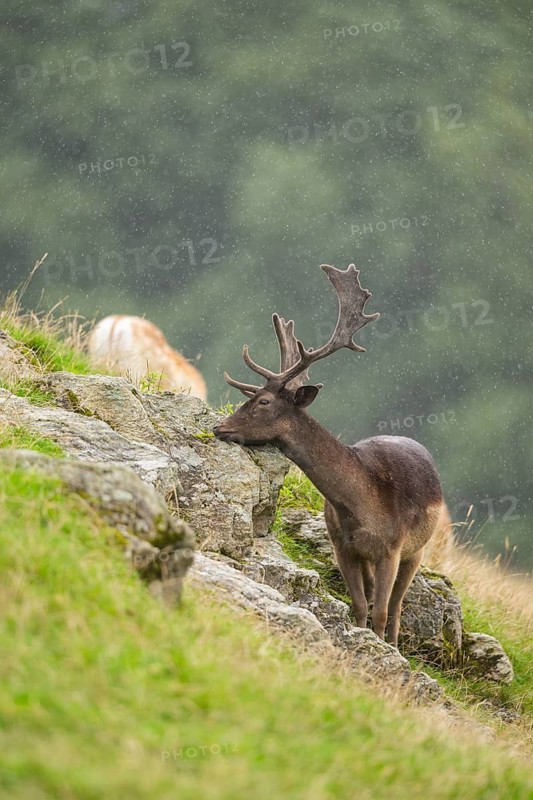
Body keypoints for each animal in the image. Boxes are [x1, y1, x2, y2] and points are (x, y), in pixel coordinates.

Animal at [213, 264, 446, 647]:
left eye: (264, 401)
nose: (220, 426)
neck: (361, 508)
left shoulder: (392, 548)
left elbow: (381, 611)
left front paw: (380, 648)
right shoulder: (342, 545)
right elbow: (361, 606)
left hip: (419, 549)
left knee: (397, 606)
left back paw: (395, 642)